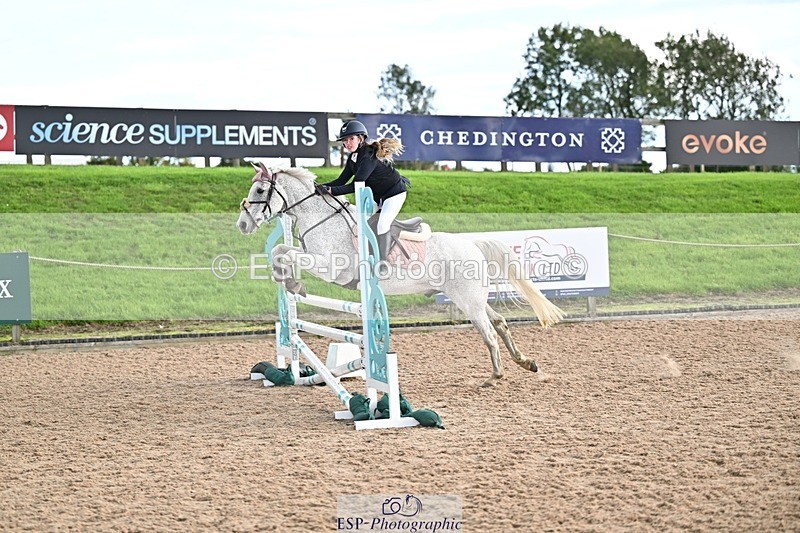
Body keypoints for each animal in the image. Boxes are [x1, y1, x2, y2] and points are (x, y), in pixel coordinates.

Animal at [236, 163, 564, 387]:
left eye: (260, 191)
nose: (242, 224)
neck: (322, 219)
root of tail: (473, 245)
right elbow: (280, 250)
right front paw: (288, 281)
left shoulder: (330, 267)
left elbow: (286, 253)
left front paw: (295, 284)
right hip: (472, 299)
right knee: (500, 323)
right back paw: (526, 363)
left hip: (468, 301)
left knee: (489, 333)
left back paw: (495, 376)